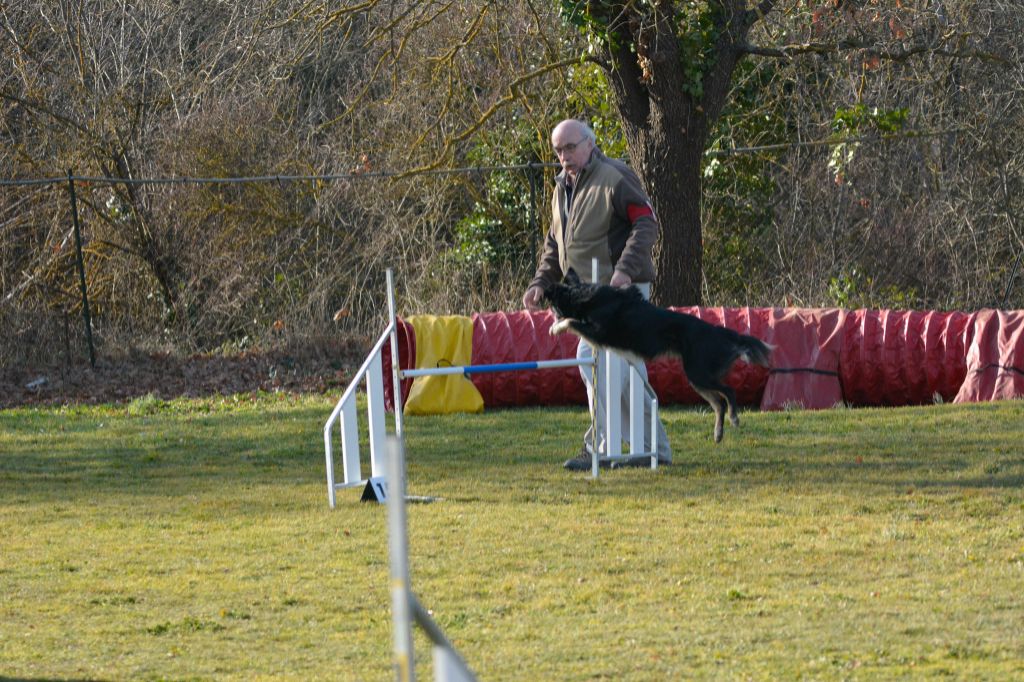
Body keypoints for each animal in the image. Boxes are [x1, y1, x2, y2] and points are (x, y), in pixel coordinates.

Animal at [544, 268, 770, 444]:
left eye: (552, 306)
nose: (551, 316)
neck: (583, 296)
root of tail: (717, 331)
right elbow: (572, 320)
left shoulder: (598, 332)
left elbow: (571, 321)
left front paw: (555, 328)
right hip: (697, 378)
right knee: (718, 403)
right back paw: (718, 434)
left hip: (699, 373)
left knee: (729, 392)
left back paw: (734, 419)